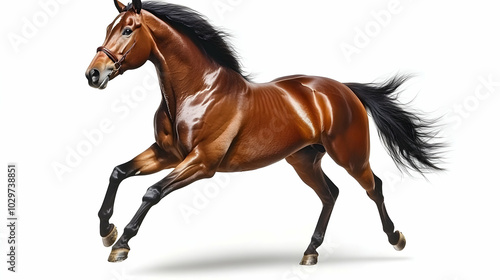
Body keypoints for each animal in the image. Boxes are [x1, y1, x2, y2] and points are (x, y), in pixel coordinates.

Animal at [85, 0, 442, 264]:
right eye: (108, 28)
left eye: (128, 29)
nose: (93, 74)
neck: (197, 92)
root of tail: (344, 89)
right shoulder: (167, 154)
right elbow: (118, 172)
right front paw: (107, 230)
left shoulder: (202, 163)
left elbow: (152, 192)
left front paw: (121, 243)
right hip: (304, 160)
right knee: (330, 194)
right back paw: (310, 252)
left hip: (350, 156)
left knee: (374, 187)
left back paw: (396, 238)